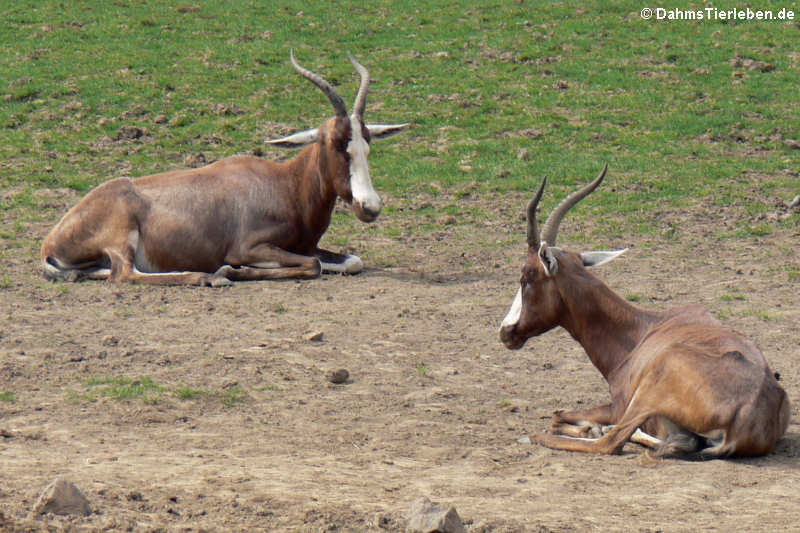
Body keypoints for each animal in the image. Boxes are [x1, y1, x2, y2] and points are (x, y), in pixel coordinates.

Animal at [39, 51, 406, 286]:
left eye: (367, 145)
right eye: (336, 144)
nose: (370, 207)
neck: (285, 185)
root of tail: (50, 241)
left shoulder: (307, 247)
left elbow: (351, 261)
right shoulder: (249, 247)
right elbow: (311, 265)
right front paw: (233, 270)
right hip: (122, 239)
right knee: (124, 275)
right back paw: (209, 278)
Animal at [496, 165, 792, 458]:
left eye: (526, 277)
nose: (505, 332)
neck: (644, 329)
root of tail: (747, 416)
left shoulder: (618, 406)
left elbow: (559, 416)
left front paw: (589, 428)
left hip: (646, 395)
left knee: (613, 442)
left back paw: (537, 437)